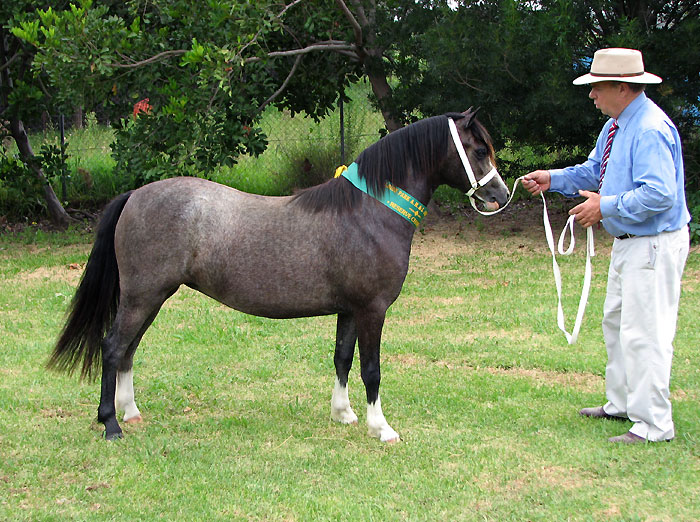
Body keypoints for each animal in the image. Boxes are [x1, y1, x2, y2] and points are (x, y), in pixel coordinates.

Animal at [49, 109, 510, 442]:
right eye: (478, 150)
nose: (500, 196)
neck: (369, 213)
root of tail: (134, 196)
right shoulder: (372, 310)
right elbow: (371, 369)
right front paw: (381, 428)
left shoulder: (349, 310)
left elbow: (342, 358)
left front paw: (343, 414)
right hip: (142, 295)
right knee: (113, 348)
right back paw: (111, 424)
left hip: (152, 297)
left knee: (128, 351)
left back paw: (131, 412)